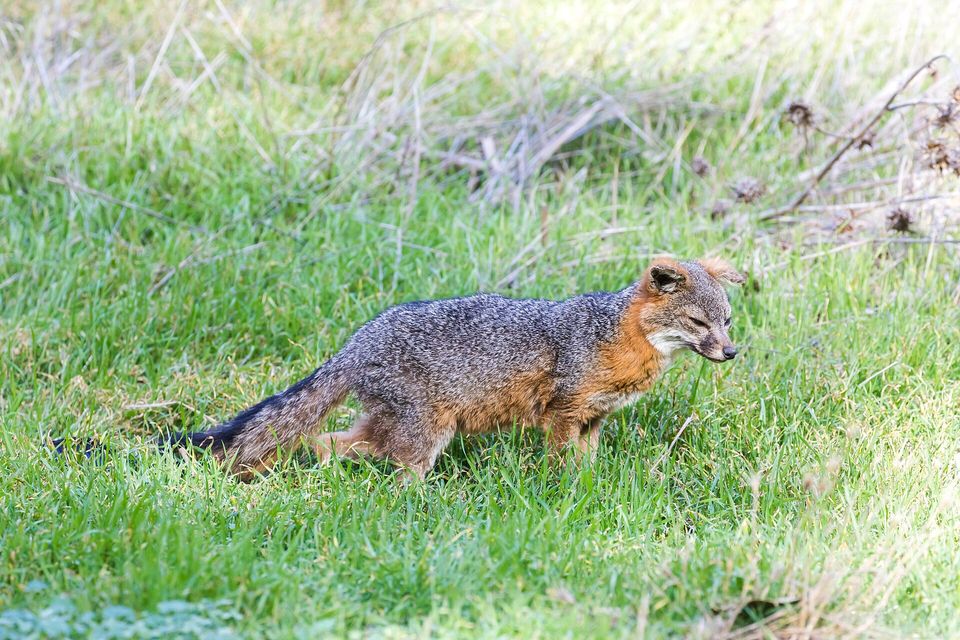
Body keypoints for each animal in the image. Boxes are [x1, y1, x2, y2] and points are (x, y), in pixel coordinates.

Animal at [173, 257, 745, 480]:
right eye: (698, 322)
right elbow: (560, 464)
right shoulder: (562, 413)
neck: (617, 338)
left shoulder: (594, 418)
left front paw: (589, 487)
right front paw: (563, 492)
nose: (731, 353)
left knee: (323, 442)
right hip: (427, 434)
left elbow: (587, 464)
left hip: (386, 428)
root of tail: (354, 342)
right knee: (395, 472)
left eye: (728, 322)